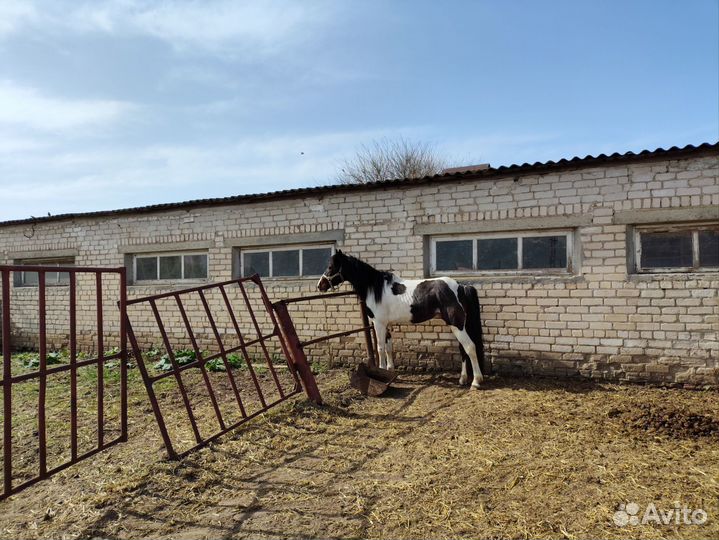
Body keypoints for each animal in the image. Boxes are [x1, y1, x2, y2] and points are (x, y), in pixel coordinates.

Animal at [317, 250, 486, 389]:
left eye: (331, 267)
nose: (320, 286)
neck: (375, 288)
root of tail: (461, 287)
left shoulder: (379, 324)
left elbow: (380, 348)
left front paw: (380, 372)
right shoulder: (386, 325)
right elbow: (389, 347)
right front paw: (390, 372)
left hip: (457, 325)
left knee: (470, 347)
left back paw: (476, 381)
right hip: (458, 326)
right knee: (463, 349)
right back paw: (463, 379)